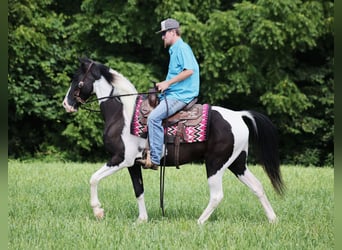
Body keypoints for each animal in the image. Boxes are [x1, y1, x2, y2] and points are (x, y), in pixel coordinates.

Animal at [62, 58, 284, 225]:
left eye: (76, 79)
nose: (66, 104)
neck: (122, 113)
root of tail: (239, 115)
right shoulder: (133, 164)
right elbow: (139, 190)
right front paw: (141, 220)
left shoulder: (121, 158)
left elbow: (93, 178)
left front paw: (98, 211)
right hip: (237, 163)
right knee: (257, 187)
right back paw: (273, 219)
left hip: (215, 163)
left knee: (217, 195)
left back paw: (199, 221)